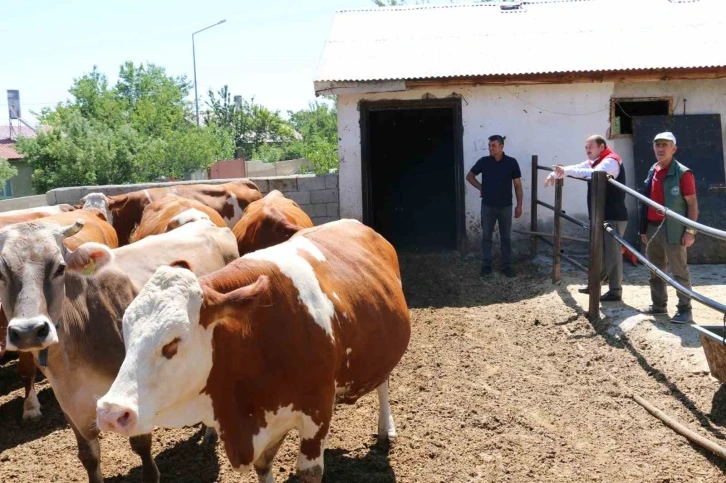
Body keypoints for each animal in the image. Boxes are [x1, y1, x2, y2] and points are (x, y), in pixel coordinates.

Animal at [0, 220, 240, 483]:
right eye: (0, 272)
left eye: (60, 268)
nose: (29, 331)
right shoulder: (69, 403)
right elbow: (88, 456)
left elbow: (141, 444)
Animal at [94, 220, 412, 483]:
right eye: (126, 332)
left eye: (173, 342)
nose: (110, 412)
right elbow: (263, 466)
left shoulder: (317, 414)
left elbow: (310, 472)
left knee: (384, 384)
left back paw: (386, 429)